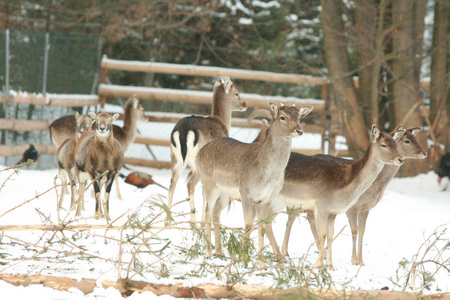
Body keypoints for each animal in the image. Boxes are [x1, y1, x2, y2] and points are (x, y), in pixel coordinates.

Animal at [168, 77, 246, 225]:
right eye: (237, 93)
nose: (245, 104)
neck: (222, 122)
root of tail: (183, 131)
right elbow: (206, 191)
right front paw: (204, 221)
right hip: (198, 162)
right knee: (190, 184)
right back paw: (193, 223)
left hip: (176, 159)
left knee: (172, 184)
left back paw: (166, 221)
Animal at [197, 103, 312, 268]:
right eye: (282, 117)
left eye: (299, 117)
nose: (299, 130)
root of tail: (200, 152)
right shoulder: (246, 193)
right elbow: (248, 225)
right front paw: (243, 260)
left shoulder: (266, 199)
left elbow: (262, 227)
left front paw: (261, 263)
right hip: (209, 184)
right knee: (207, 213)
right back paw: (209, 253)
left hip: (225, 193)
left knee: (216, 213)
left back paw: (220, 252)